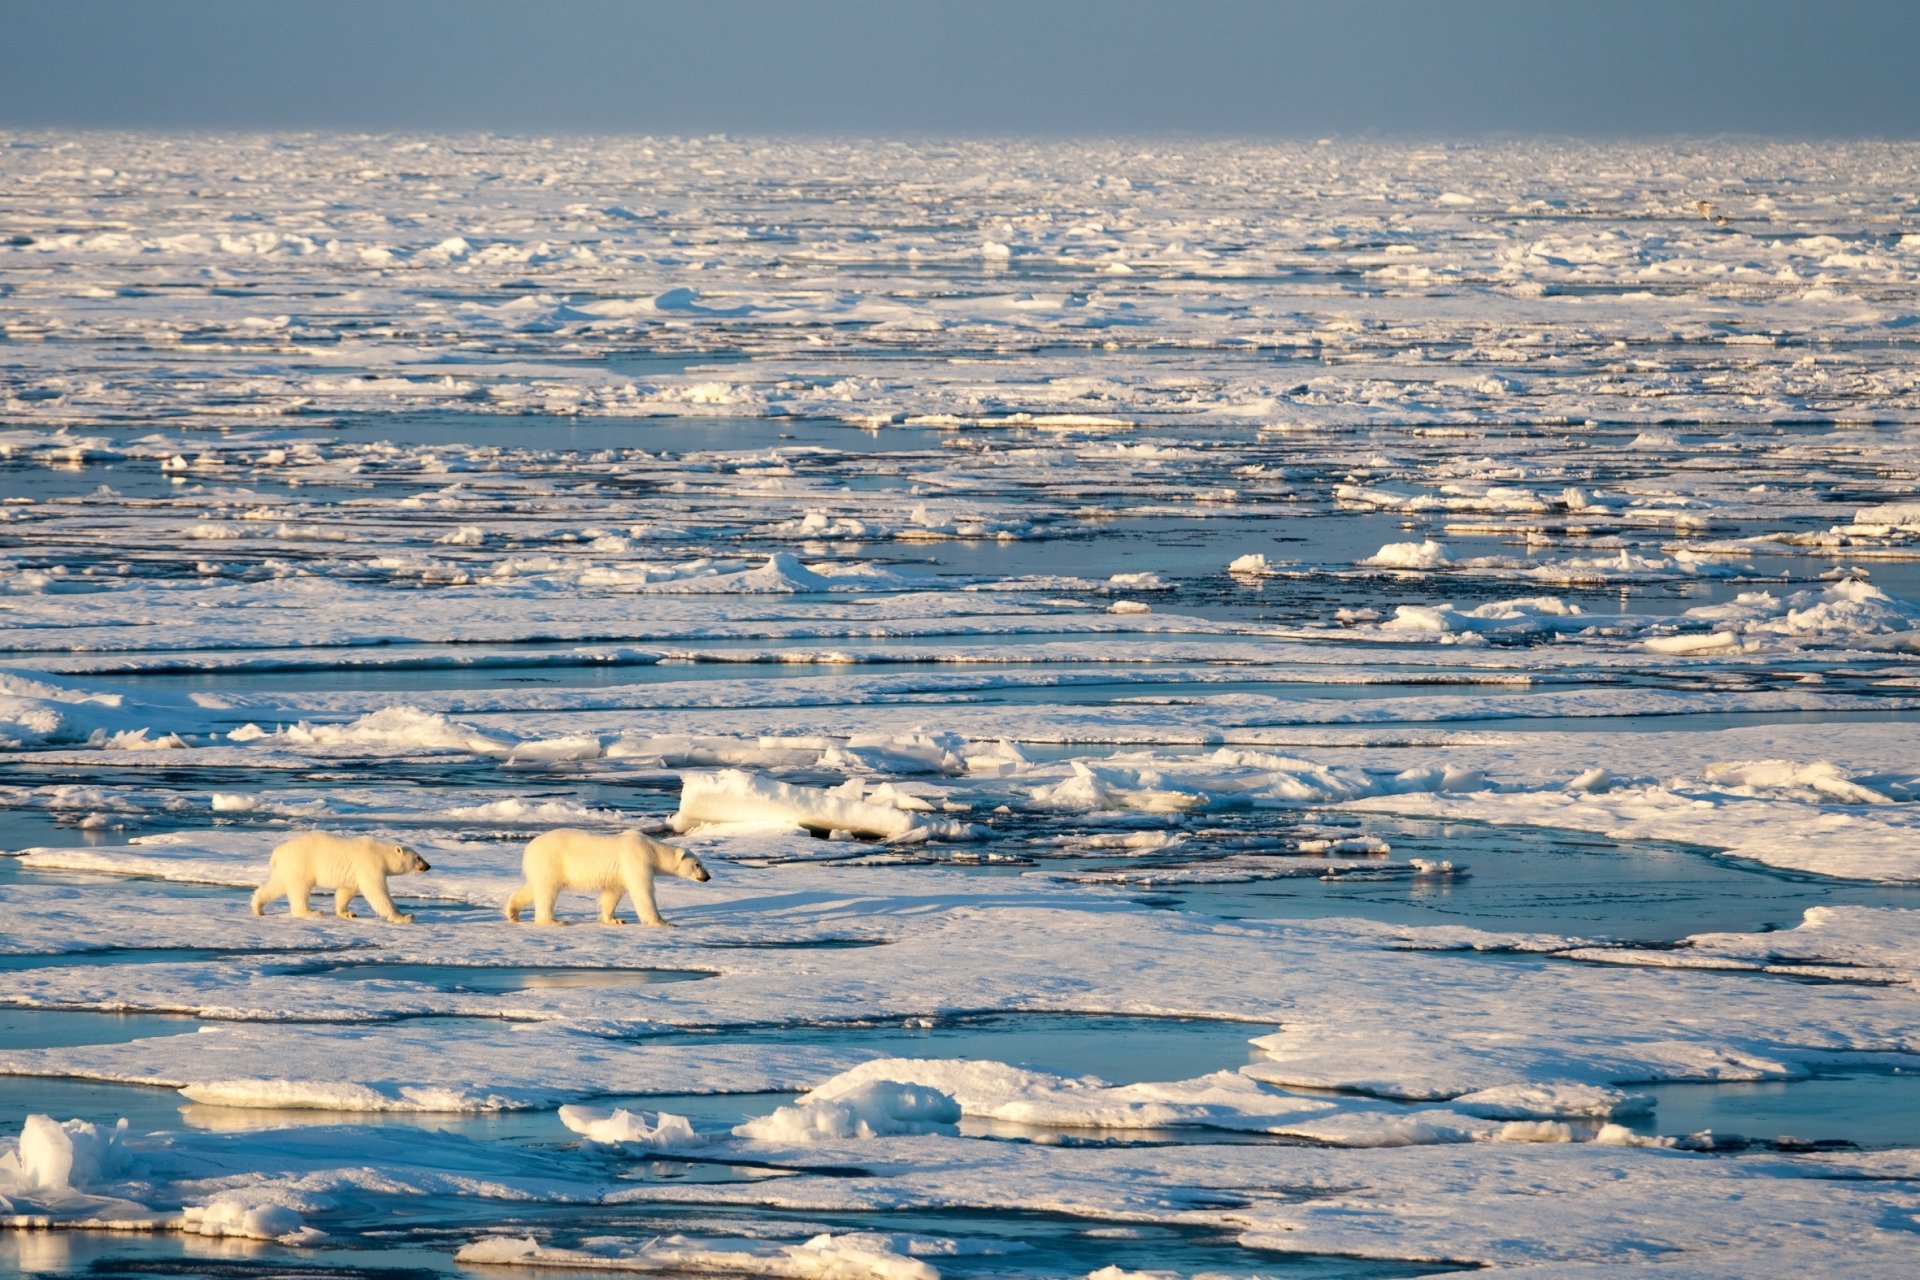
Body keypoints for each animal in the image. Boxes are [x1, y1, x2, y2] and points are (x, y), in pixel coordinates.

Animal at [251, 836, 432, 924]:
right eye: (418, 857)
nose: (428, 866)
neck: (382, 854)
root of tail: (278, 851)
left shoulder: (355, 873)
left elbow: (347, 890)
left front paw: (347, 913)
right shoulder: (369, 864)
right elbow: (377, 892)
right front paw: (405, 917)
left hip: (288, 868)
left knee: (277, 886)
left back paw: (258, 907)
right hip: (301, 863)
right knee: (300, 889)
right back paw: (312, 912)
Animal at [510, 832, 714, 932]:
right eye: (697, 864)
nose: (707, 877)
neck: (651, 848)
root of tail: (528, 848)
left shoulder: (619, 873)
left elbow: (612, 893)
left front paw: (615, 920)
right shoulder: (636, 859)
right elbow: (643, 891)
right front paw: (663, 923)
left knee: (533, 888)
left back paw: (512, 912)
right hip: (551, 860)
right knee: (547, 891)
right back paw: (554, 921)